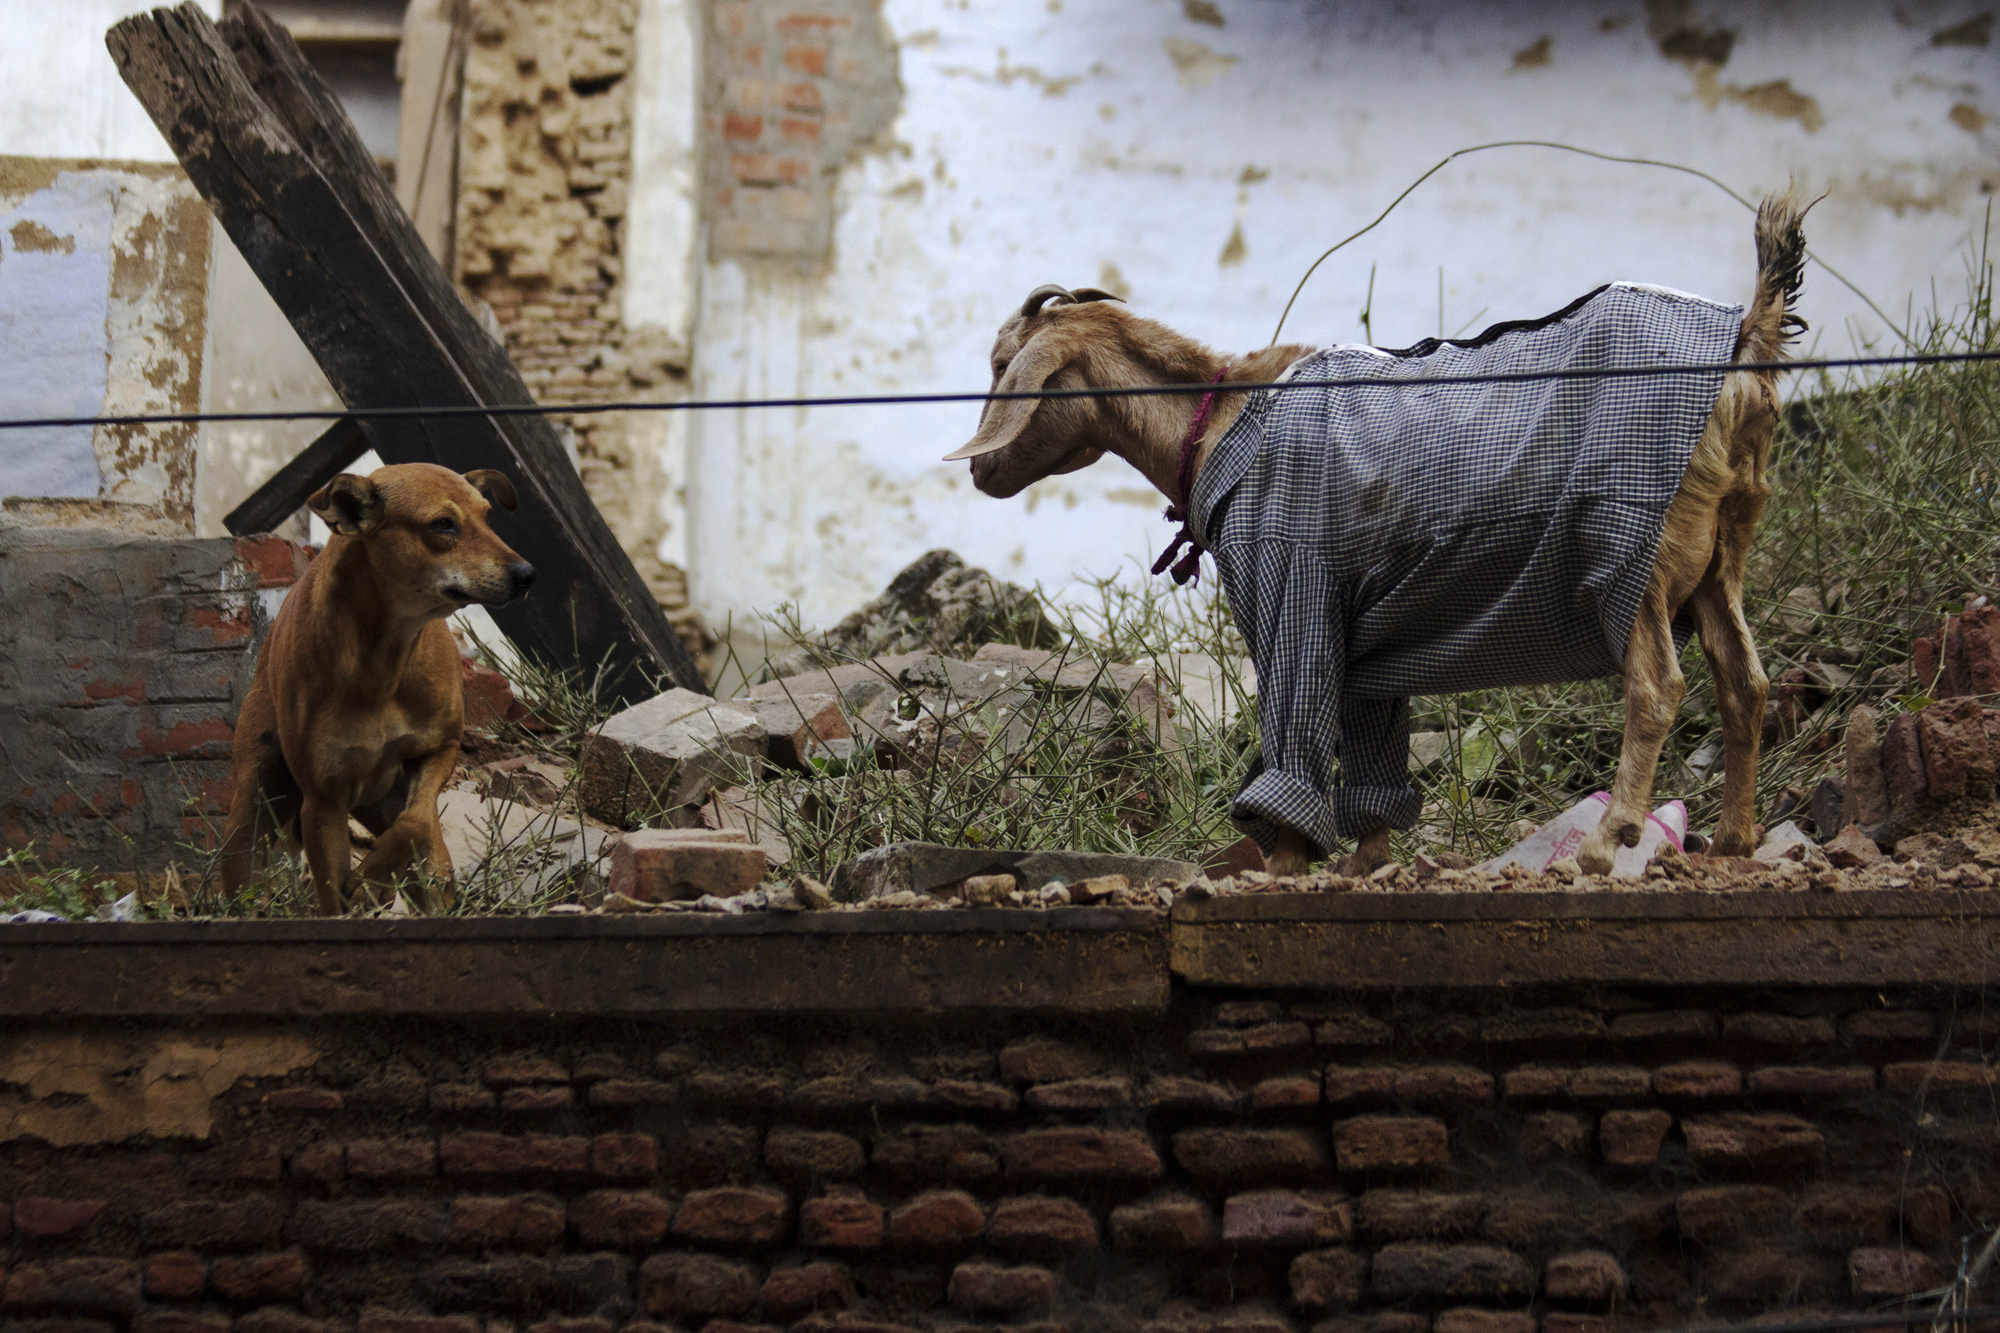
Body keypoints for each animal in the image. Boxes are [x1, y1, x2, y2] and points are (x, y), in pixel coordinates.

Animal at [220, 462, 536, 908]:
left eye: (488, 517)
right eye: (443, 524)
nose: (527, 575)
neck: (385, 657)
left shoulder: (441, 748)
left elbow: (415, 820)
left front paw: (375, 878)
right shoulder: (323, 805)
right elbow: (332, 894)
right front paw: (364, 885)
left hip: (410, 834)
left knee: (426, 847)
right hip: (250, 810)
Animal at [948, 189, 1816, 872]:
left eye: (1000, 365)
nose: (979, 473)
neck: (1220, 418)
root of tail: (1747, 342)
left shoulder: (1294, 585)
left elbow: (1296, 735)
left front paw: (1285, 862)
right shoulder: (1369, 633)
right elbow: (1368, 747)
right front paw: (1367, 861)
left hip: (1633, 549)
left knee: (1658, 686)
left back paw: (1607, 843)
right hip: (1721, 551)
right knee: (1745, 681)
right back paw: (1734, 838)